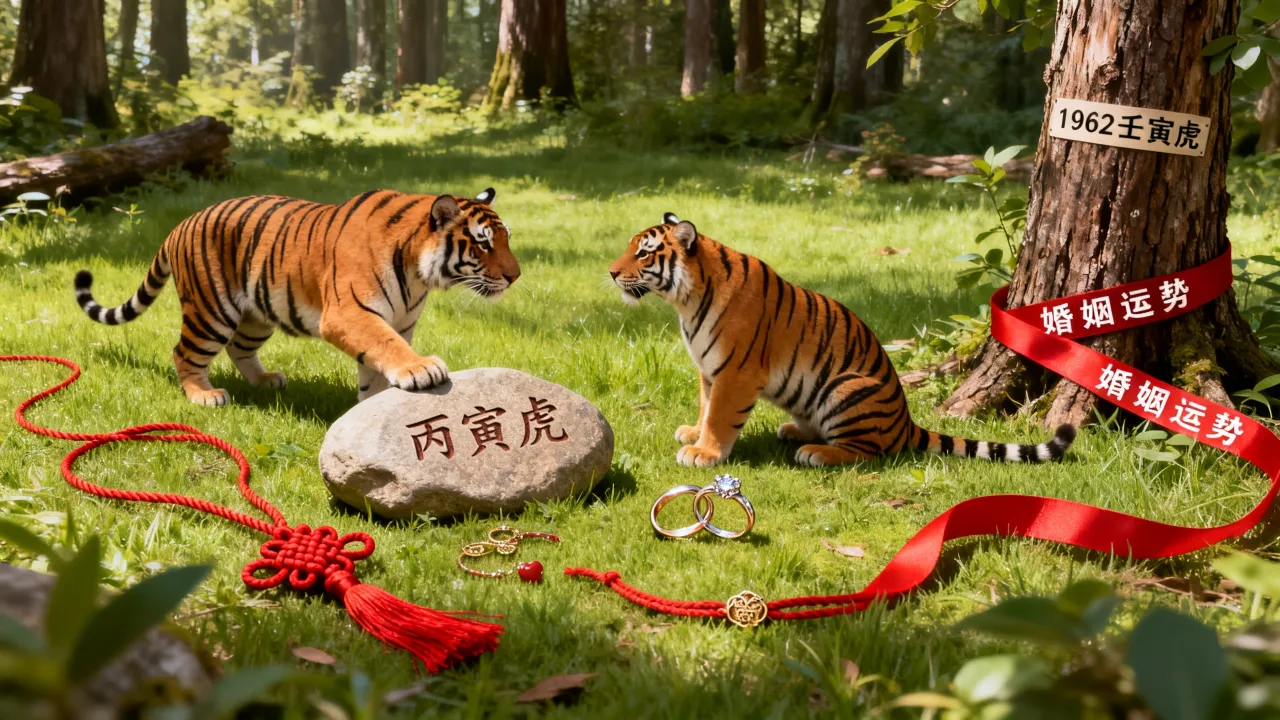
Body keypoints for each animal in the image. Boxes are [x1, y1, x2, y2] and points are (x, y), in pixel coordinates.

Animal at [73, 188, 519, 407]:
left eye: (506, 239)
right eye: (483, 244)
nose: (515, 276)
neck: (418, 274)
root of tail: (179, 225)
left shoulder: (397, 321)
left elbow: (374, 365)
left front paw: (369, 408)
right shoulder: (350, 314)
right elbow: (385, 346)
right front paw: (420, 369)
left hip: (256, 314)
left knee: (239, 348)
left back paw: (265, 380)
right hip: (210, 311)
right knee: (184, 353)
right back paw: (204, 396)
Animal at [608, 213, 1076, 468]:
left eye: (644, 252)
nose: (611, 272)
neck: (684, 300)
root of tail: (905, 422)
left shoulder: (735, 373)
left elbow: (721, 417)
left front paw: (704, 453)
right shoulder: (710, 370)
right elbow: (706, 408)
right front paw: (693, 433)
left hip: (845, 389)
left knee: (867, 451)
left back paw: (816, 453)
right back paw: (795, 432)